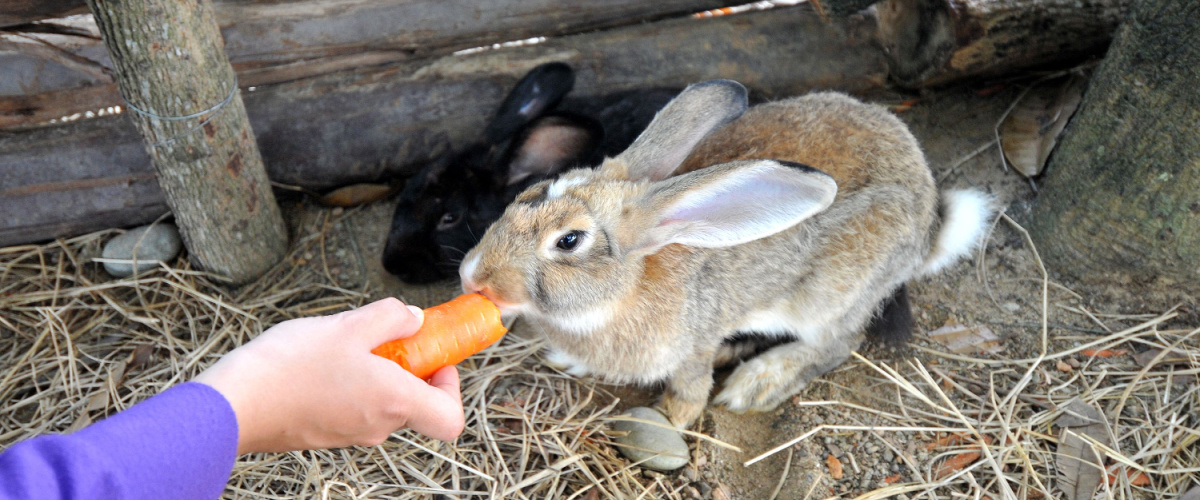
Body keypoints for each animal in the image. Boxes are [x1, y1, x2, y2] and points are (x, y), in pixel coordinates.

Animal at [458, 79, 993, 426]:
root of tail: (927, 223)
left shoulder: (691, 346)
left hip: (830, 294)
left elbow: (690, 391)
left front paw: (672, 419)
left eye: (568, 241)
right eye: (524, 197)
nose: (472, 276)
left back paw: (757, 383)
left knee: (838, 342)